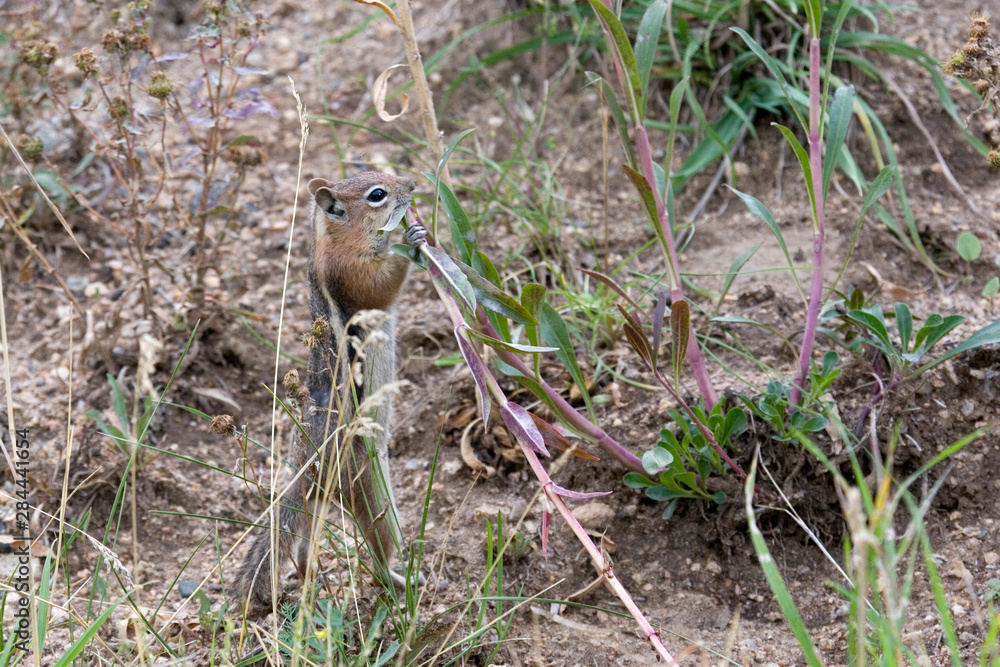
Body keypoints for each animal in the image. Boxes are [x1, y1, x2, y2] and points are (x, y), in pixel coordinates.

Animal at [231, 171, 426, 617]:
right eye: (377, 194)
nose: (411, 184)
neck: (329, 239)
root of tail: (305, 471)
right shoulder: (351, 272)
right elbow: (381, 285)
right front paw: (412, 238)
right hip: (371, 492)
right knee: (378, 550)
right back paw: (399, 581)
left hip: (323, 506)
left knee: (304, 550)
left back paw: (311, 582)